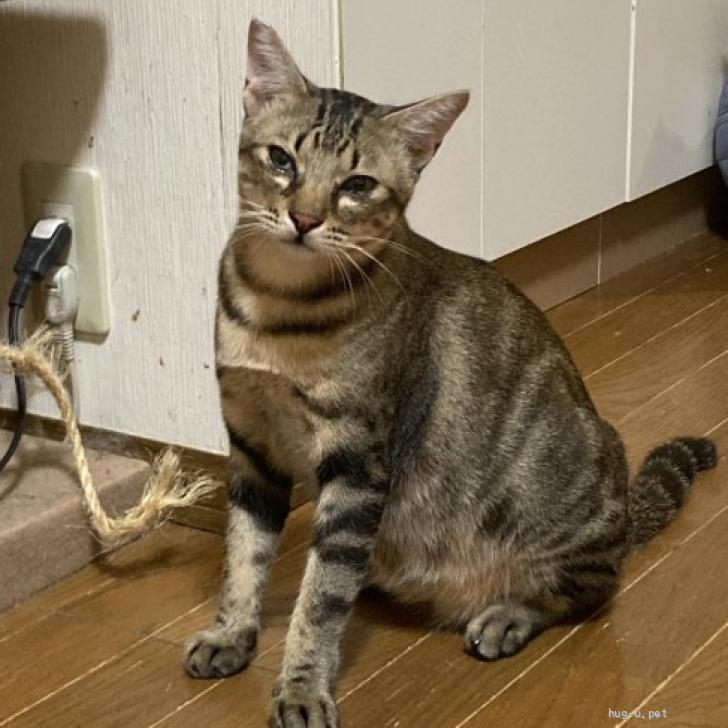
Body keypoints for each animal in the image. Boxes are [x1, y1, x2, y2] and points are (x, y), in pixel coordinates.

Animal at [183, 19, 717, 728]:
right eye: (281, 160)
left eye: (357, 186)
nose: (303, 218)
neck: (279, 310)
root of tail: (626, 512)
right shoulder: (251, 444)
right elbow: (243, 555)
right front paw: (231, 633)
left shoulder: (357, 464)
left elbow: (319, 601)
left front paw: (300, 686)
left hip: (559, 497)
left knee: (587, 592)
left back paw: (503, 616)